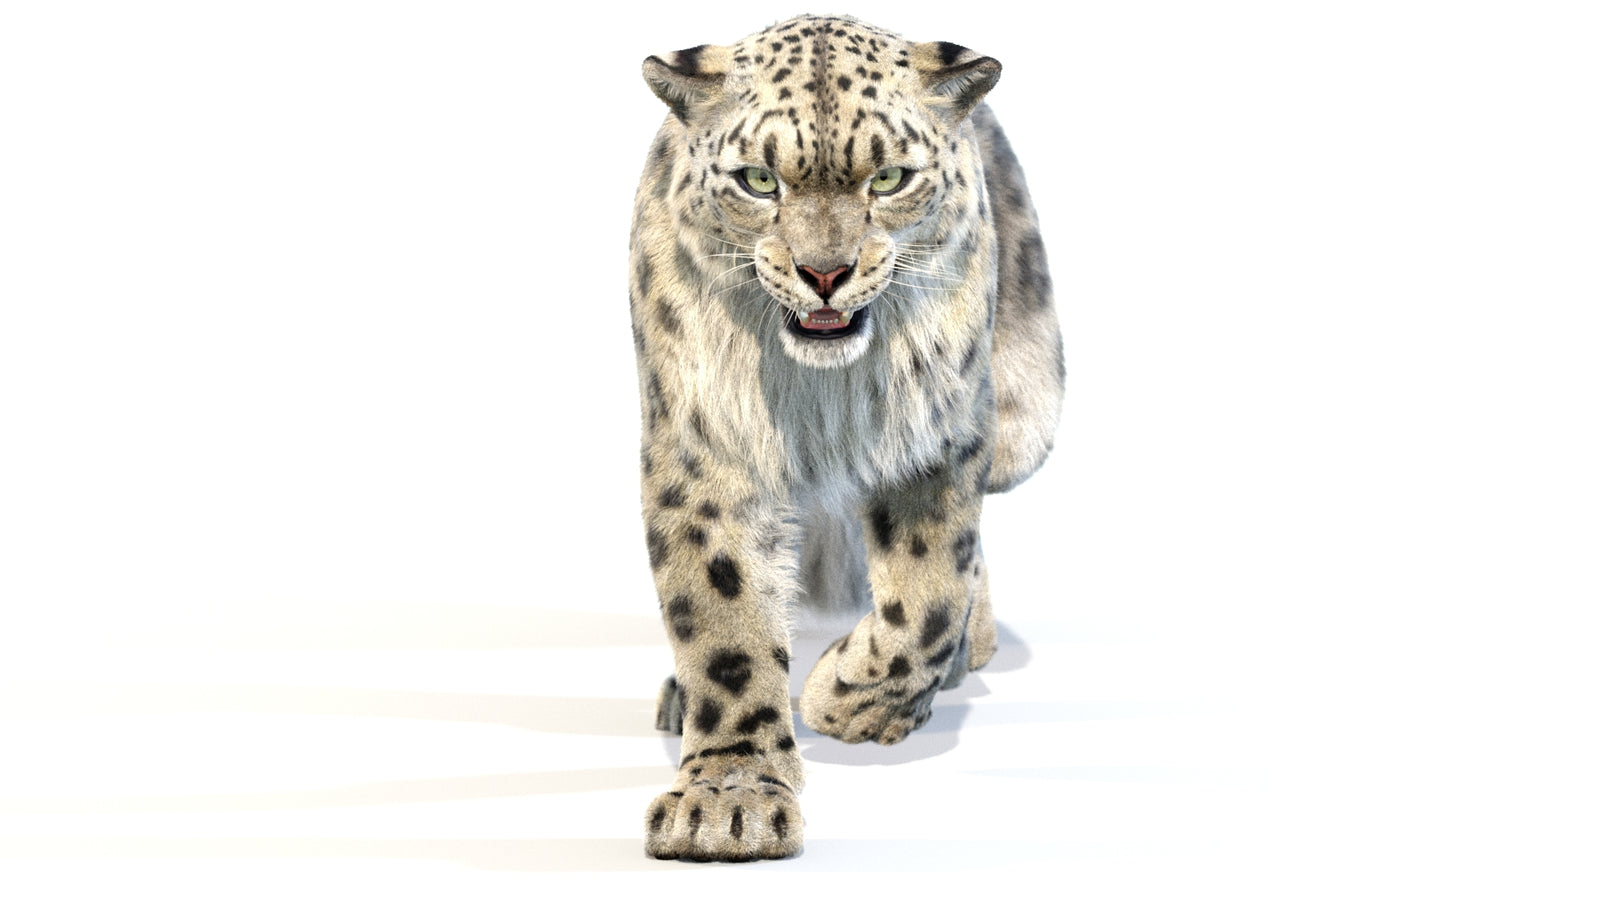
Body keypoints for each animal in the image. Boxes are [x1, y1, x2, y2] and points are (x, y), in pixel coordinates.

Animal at [629, 14, 1063, 861]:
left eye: (888, 178)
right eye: (759, 181)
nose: (824, 272)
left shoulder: (938, 437)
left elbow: (929, 595)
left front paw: (846, 703)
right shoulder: (706, 448)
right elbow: (725, 622)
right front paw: (727, 802)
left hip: (1028, 418)